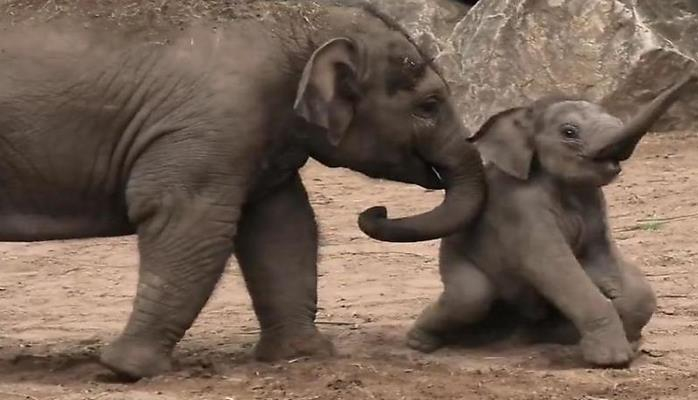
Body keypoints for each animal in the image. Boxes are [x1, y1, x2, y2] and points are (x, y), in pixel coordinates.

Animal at [0, 2, 484, 378]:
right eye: (429, 106)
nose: (375, 211)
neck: (303, 23)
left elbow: (283, 227)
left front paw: (302, 356)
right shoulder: (214, 124)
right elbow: (188, 218)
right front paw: (125, 370)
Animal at [400, 72, 692, 368]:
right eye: (569, 132)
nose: (693, 74)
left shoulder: (594, 203)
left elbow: (610, 267)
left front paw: (623, 320)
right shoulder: (521, 205)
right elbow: (551, 265)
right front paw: (612, 359)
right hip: (456, 261)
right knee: (469, 298)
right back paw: (421, 342)